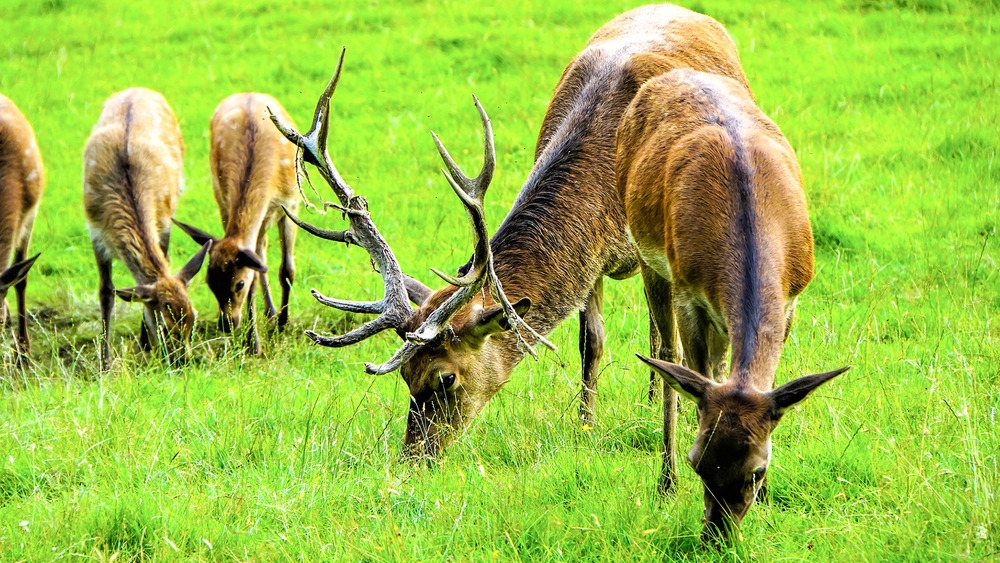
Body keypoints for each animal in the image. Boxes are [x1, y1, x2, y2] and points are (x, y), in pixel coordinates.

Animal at [82, 88, 213, 370]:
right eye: (165, 326)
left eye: (193, 320)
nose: (183, 361)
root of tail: (137, 90)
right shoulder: (95, 232)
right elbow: (106, 291)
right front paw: (105, 362)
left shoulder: (163, 222)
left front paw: (146, 343)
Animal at [173, 94, 296, 354]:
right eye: (209, 281)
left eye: (239, 283)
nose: (227, 324)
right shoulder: (226, 205)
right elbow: (258, 273)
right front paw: (254, 343)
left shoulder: (291, 204)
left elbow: (287, 270)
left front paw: (284, 325)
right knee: (261, 254)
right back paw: (269, 314)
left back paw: (274, 316)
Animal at [266, 4, 764, 462]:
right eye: (406, 376)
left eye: (446, 377)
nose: (416, 456)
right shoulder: (590, 261)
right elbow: (591, 341)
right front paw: (584, 425)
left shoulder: (648, 249)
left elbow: (665, 341)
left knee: (667, 332)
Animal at [620, 66, 848, 540]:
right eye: (698, 463)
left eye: (758, 470)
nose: (715, 538)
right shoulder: (689, 292)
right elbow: (694, 377)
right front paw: (672, 480)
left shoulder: (793, 299)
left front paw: (767, 502)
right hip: (647, 256)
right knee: (668, 353)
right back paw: (663, 480)